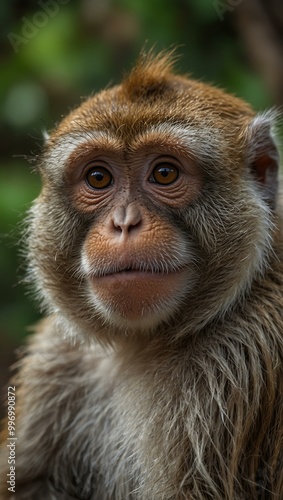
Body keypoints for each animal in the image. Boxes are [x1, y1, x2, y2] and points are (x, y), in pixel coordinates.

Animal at [0, 51, 283, 500]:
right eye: (98, 177)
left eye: (165, 173)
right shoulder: (55, 357)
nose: (124, 223)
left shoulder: (243, 358)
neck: (141, 343)